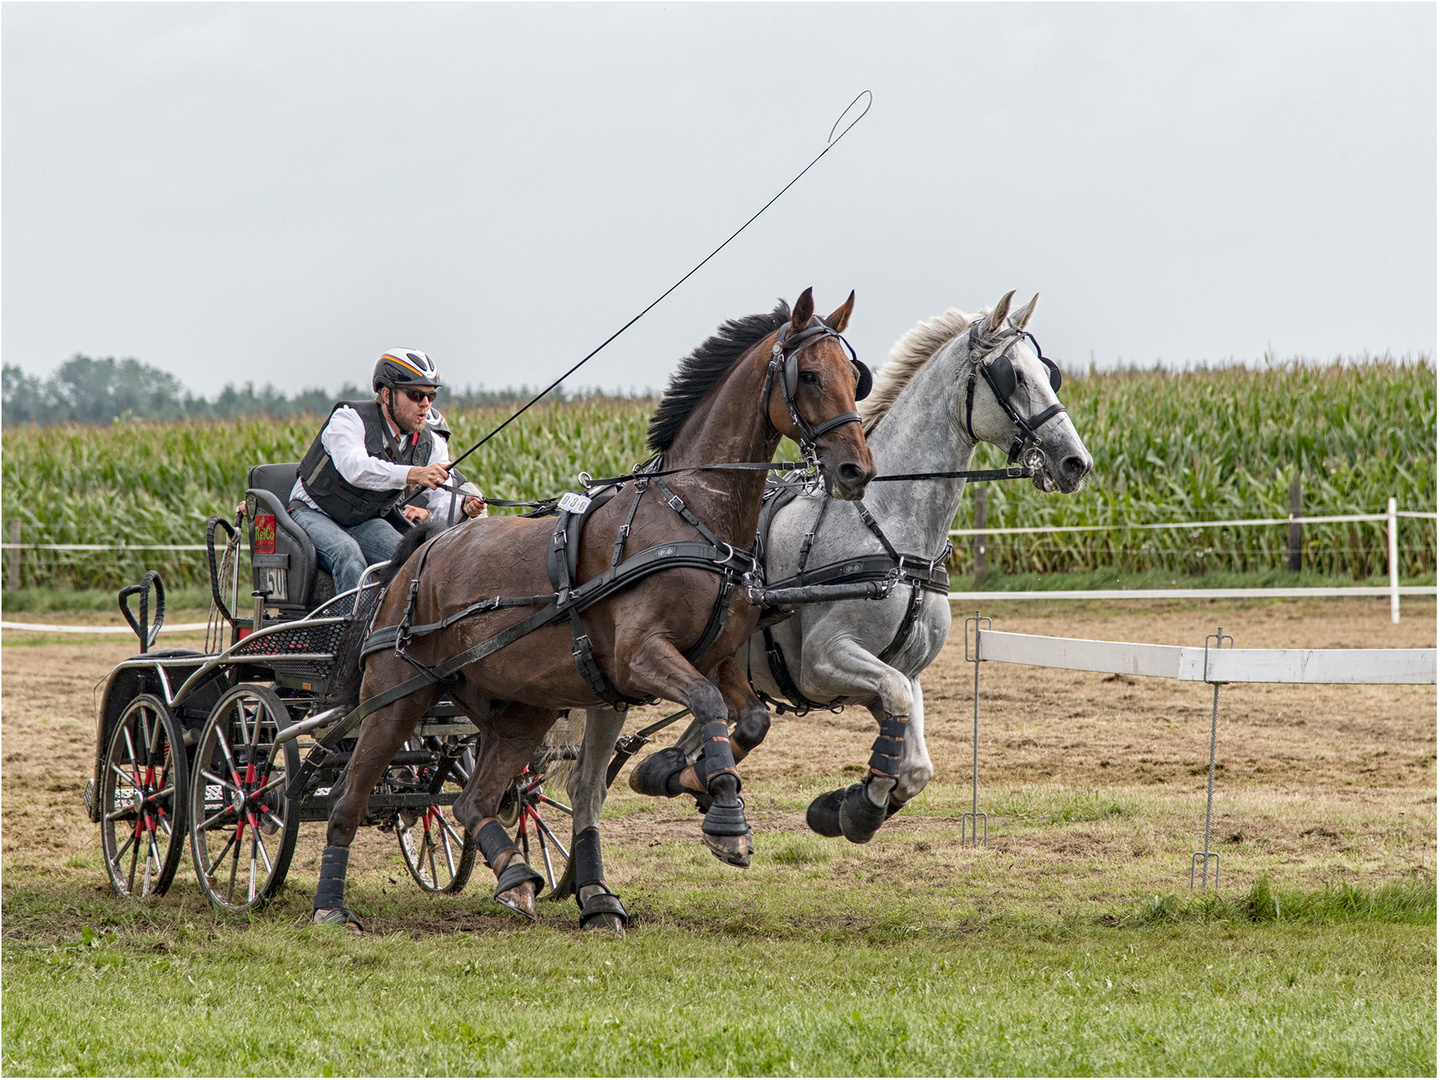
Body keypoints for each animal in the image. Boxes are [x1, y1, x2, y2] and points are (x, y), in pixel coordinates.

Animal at [315, 289, 874, 931]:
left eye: (853, 376)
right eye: (809, 375)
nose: (856, 469)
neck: (690, 516)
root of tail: (422, 552)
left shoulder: (715, 658)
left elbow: (751, 719)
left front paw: (692, 780)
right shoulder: (641, 655)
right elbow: (708, 705)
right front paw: (722, 819)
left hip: (521, 710)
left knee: (472, 801)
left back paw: (516, 876)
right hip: (395, 699)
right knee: (349, 797)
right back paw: (330, 907)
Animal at [552, 291, 1087, 931]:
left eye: (1049, 372)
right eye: (1014, 376)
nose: (1075, 462)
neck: (888, 532)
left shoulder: (902, 670)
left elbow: (915, 761)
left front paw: (847, 806)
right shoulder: (825, 662)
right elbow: (892, 717)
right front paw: (855, 808)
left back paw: (669, 780)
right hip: (609, 683)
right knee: (585, 782)